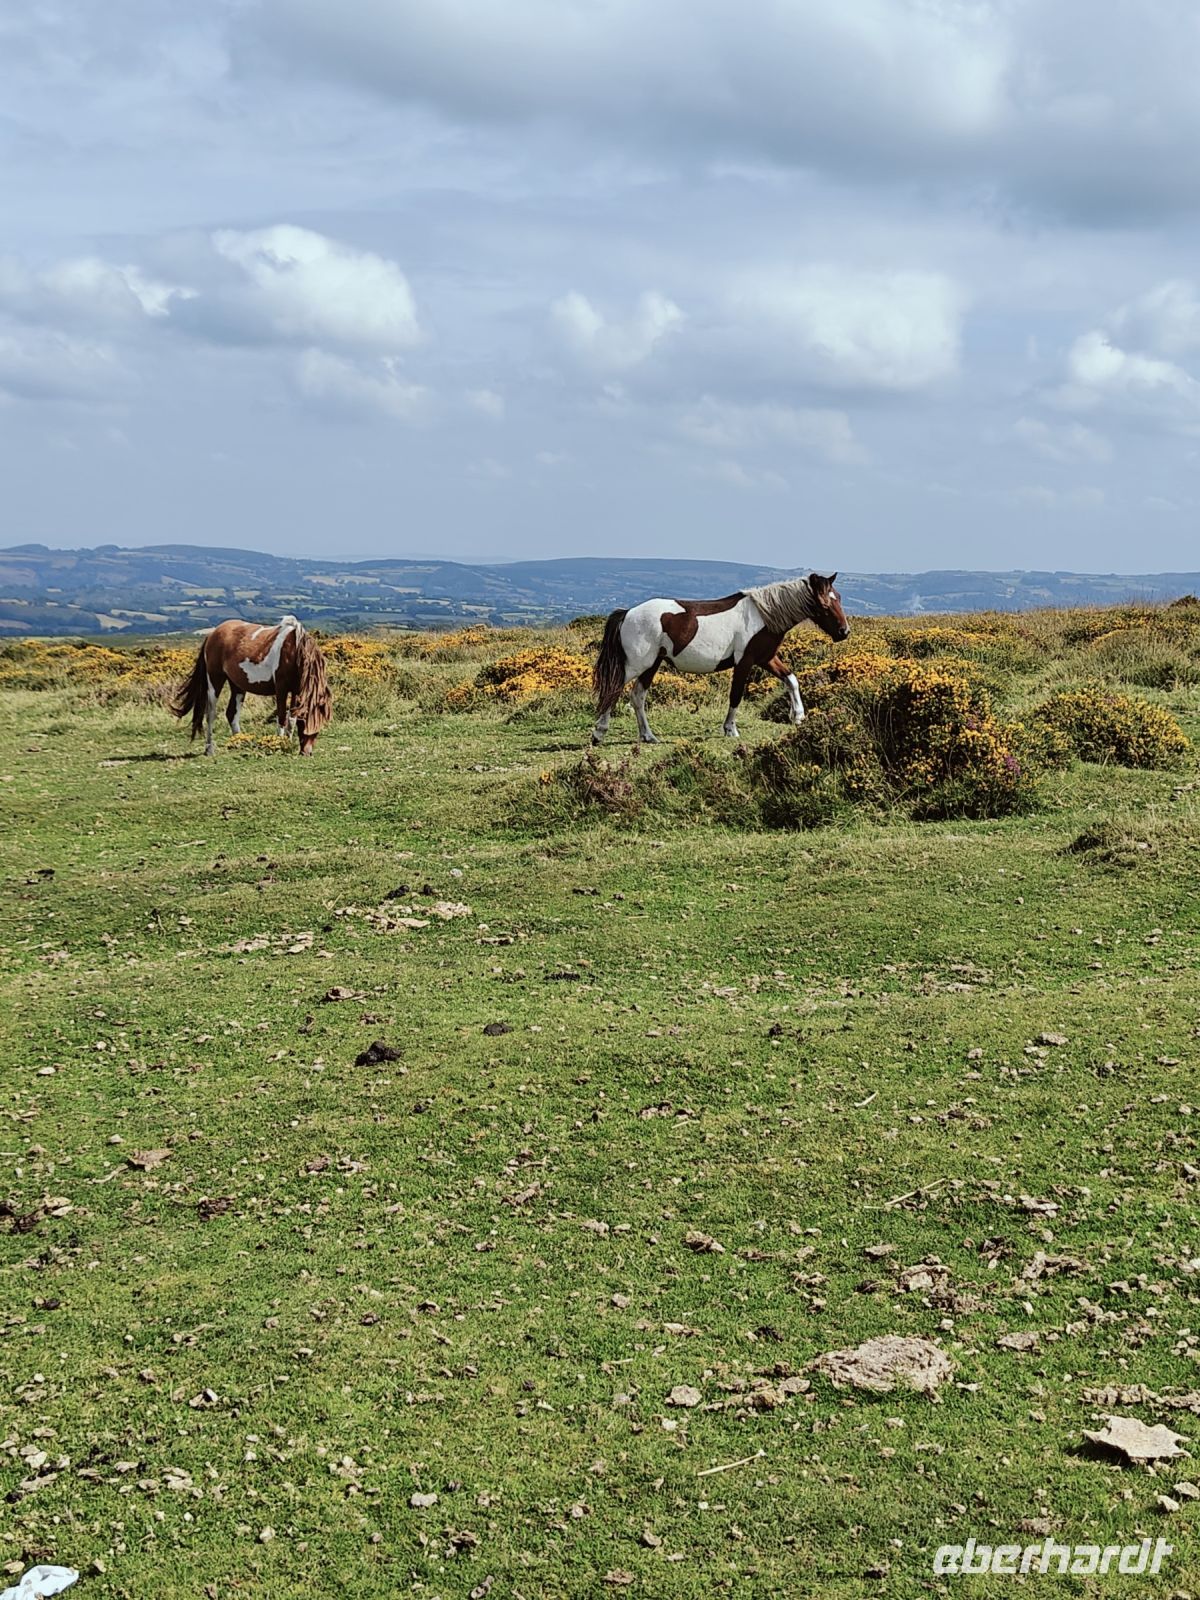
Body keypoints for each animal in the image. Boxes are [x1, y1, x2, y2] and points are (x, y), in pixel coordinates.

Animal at [171, 615, 332, 756]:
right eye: (306, 723)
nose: (307, 753)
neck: (294, 651)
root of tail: (212, 634)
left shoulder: (296, 691)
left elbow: (291, 718)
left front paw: (287, 742)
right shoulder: (281, 689)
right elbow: (281, 717)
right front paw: (280, 744)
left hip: (237, 685)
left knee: (231, 713)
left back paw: (239, 742)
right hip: (215, 681)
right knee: (210, 714)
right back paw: (209, 749)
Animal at [591, 572, 849, 744]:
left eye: (838, 597)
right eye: (824, 604)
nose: (844, 632)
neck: (762, 616)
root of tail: (627, 613)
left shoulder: (766, 658)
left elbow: (791, 679)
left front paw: (798, 716)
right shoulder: (745, 662)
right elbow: (736, 695)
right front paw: (730, 729)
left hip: (651, 665)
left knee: (637, 696)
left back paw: (648, 736)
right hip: (636, 664)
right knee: (614, 690)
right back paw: (599, 733)